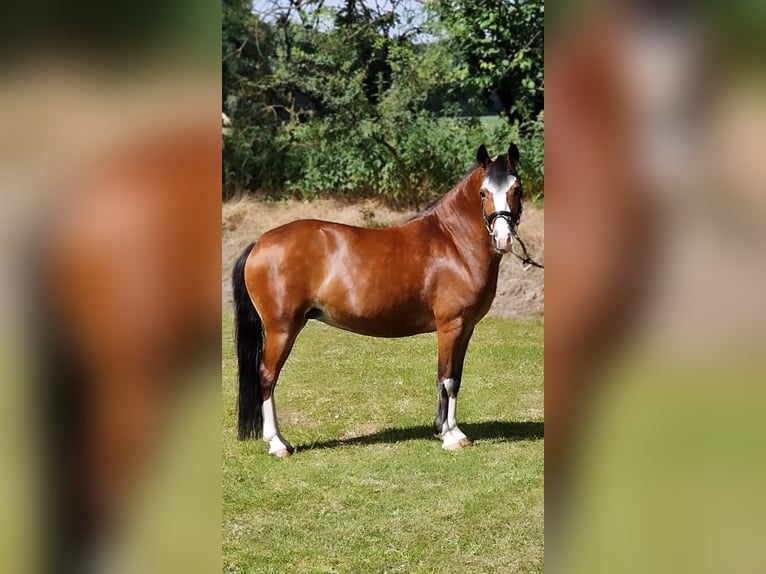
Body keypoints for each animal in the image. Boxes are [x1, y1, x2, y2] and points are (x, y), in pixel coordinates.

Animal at [234, 144, 528, 460]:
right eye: (484, 192)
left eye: (517, 189)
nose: (504, 238)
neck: (453, 243)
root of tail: (260, 243)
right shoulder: (450, 327)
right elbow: (445, 379)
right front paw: (448, 435)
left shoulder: (465, 329)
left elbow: (456, 379)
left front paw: (455, 433)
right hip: (281, 329)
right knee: (267, 376)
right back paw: (278, 444)